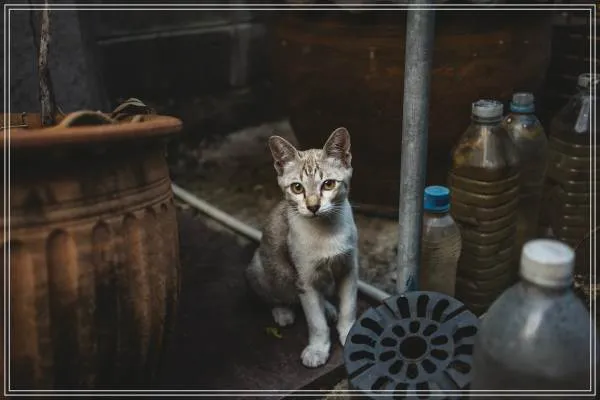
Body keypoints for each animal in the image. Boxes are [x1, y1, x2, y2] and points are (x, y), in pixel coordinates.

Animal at [245, 127, 359, 368]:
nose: (313, 206)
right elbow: (315, 322)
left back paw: (328, 308)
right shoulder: (304, 279)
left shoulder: (349, 269)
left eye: (328, 184)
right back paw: (283, 311)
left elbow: (349, 307)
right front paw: (318, 349)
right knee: (275, 296)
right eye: (297, 187)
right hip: (260, 268)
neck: (327, 232)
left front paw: (348, 332)